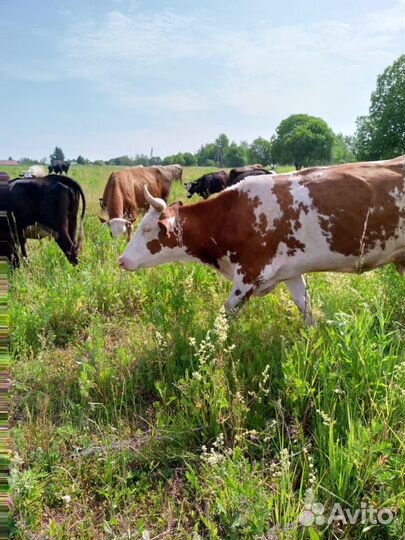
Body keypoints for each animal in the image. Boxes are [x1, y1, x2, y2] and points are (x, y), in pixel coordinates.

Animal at [118, 156, 404, 324]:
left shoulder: (248, 276)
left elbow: (224, 316)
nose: (121, 260)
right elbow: (306, 309)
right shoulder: (291, 272)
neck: (231, 215)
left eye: (147, 229)